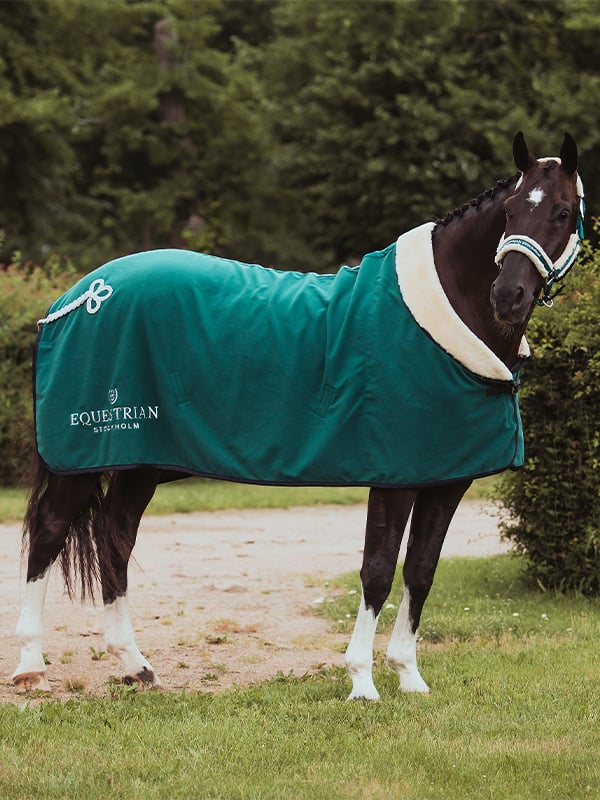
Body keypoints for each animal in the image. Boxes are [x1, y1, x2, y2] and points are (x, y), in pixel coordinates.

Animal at [13, 131, 584, 698]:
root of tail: (76, 297)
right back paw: (31, 666)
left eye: (561, 212)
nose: (508, 296)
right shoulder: (394, 475)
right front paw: (361, 681)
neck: (441, 318)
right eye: (509, 211)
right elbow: (377, 570)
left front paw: (408, 675)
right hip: (83, 457)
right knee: (49, 533)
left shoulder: (448, 478)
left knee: (115, 538)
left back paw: (135, 665)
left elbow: (421, 570)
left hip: (138, 463)